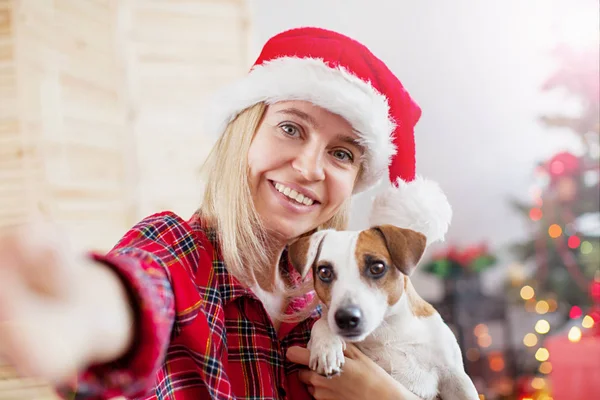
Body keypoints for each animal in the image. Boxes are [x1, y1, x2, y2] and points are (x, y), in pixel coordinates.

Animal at [288, 178, 480, 400]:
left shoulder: (456, 378)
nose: (346, 318)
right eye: (324, 272)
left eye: (377, 267)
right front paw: (326, 346)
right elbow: (322, 322)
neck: (387, 331)